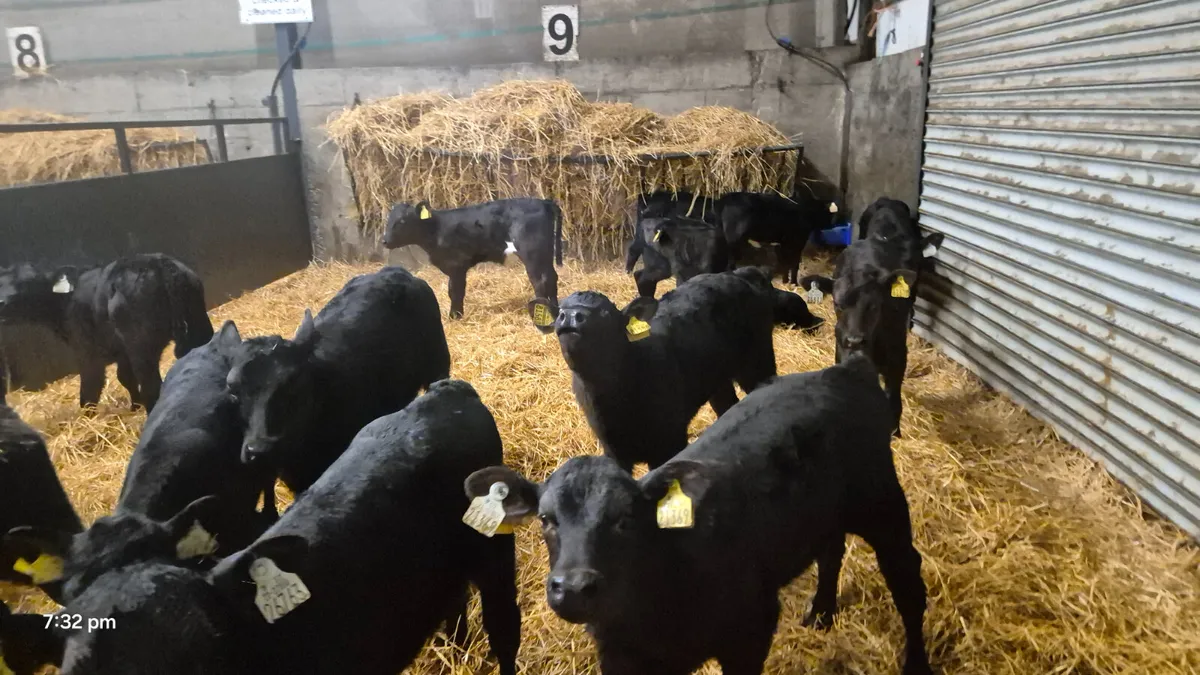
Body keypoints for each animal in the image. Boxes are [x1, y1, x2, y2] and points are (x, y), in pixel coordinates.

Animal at [0, 254, 213, 412]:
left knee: (151, 386)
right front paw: (135, 406)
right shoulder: (122, 351)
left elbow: (90, 389)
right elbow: (124, 377)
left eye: (27, 284)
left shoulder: (88, 351)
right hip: (197, 321)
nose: (2, 302)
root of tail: (159, 264)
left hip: (142, 346)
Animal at [382, 198, 563, 321]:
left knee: (540, 281)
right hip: (544, 253)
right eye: (388, 220)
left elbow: (455, 291)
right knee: (551, 278)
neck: (436, 230)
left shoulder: (456, 265)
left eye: (402, 221)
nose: (384, 240)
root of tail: (543, 201)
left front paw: (455, 316)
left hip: (532, 254)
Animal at [466, 357, 932, 675]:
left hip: (883, 505)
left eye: (625, 518)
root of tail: (843, 370)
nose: (575, 588)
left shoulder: (750, 629)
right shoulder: (622, 659)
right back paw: (820, 611)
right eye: (546, 520)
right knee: (831, 549)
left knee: (909, 583)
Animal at [534, 268, 781, 472]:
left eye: (605, 314)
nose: (571, 317)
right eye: (560, 312)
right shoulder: (614, 452)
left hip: (758, 360)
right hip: (718, 380)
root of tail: (736, 275)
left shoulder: (670, 442)